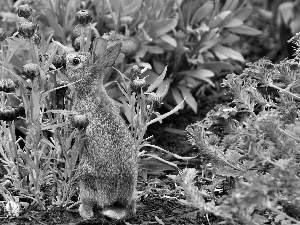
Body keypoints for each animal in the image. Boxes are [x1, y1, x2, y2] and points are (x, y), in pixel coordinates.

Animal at [65, 37, 138, 220]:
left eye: (75, 61)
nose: (65, 57)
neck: (91, 91)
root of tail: (116, 203)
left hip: (86, 178)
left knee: (88, 204)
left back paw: (81, 210)